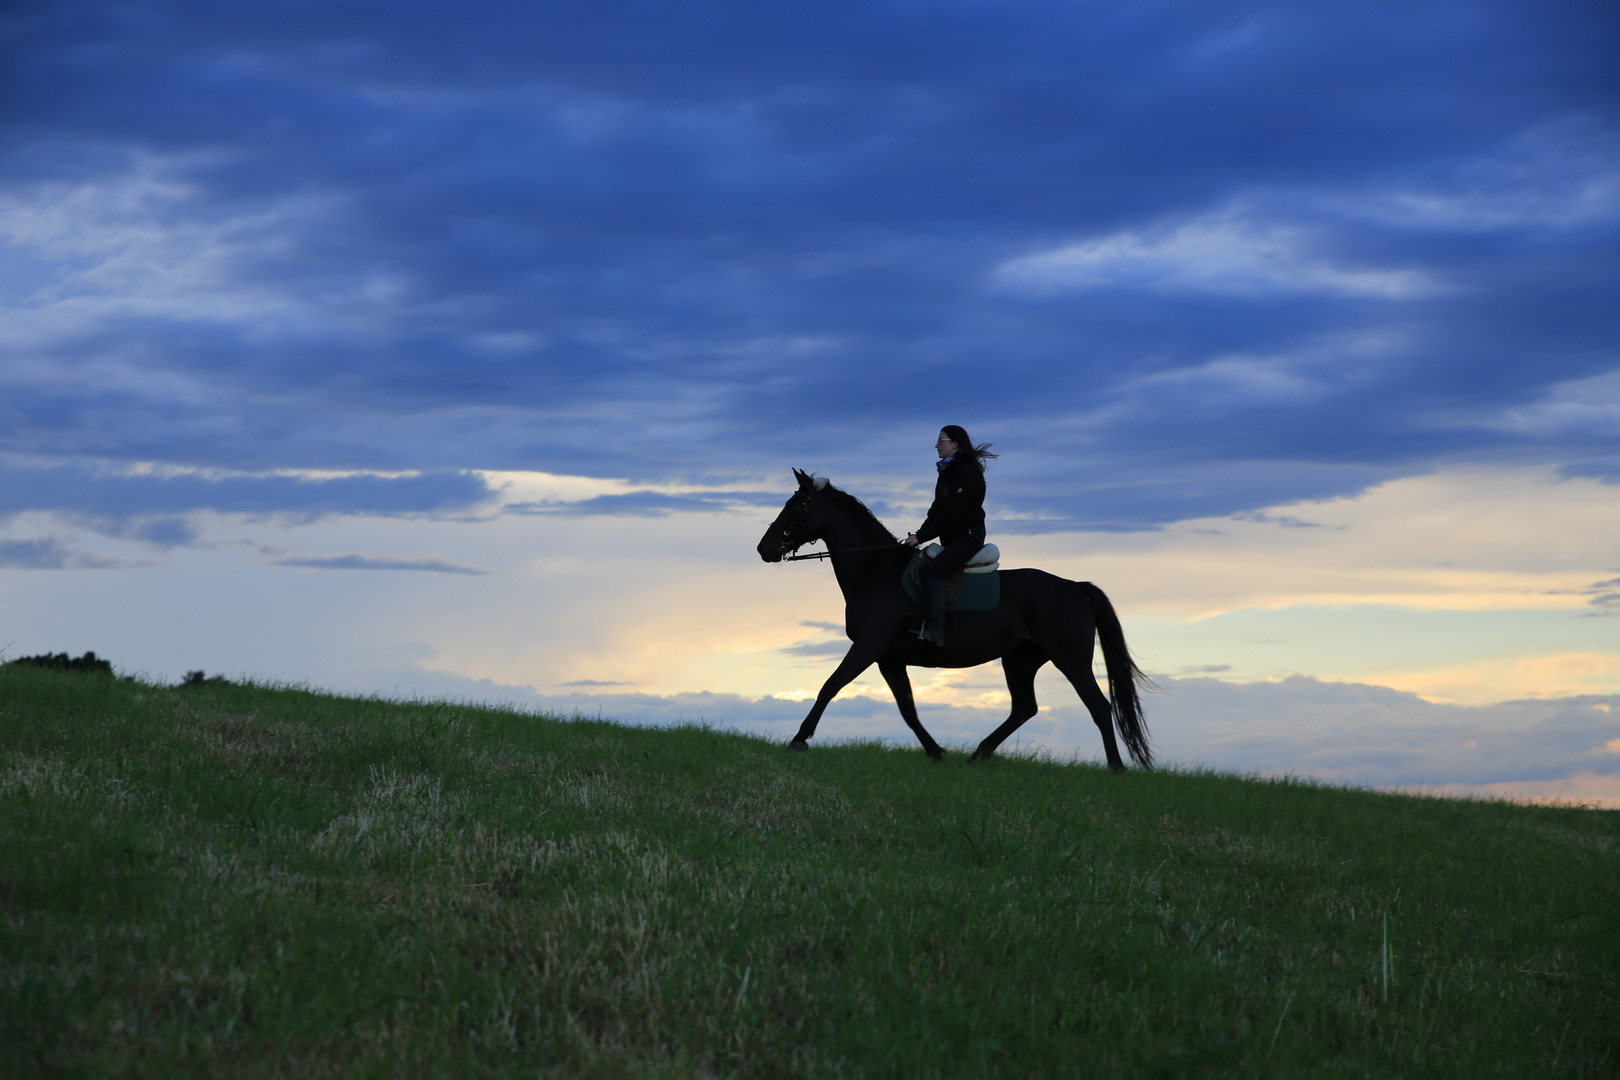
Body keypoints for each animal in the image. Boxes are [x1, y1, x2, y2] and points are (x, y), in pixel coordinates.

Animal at [758, 469, 1153, 767]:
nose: (764, 549)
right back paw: (978, 755)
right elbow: (908, 709)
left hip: (1070, 659)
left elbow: (830, 685)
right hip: (1020, 659)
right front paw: (936, 752)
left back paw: (1116, 769)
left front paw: (799, 739)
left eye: (797, 506)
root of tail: (1074, 587)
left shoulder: (868, 647)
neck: (875, 570)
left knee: (1099, 707)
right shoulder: (888, 658)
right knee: (1024, 708)